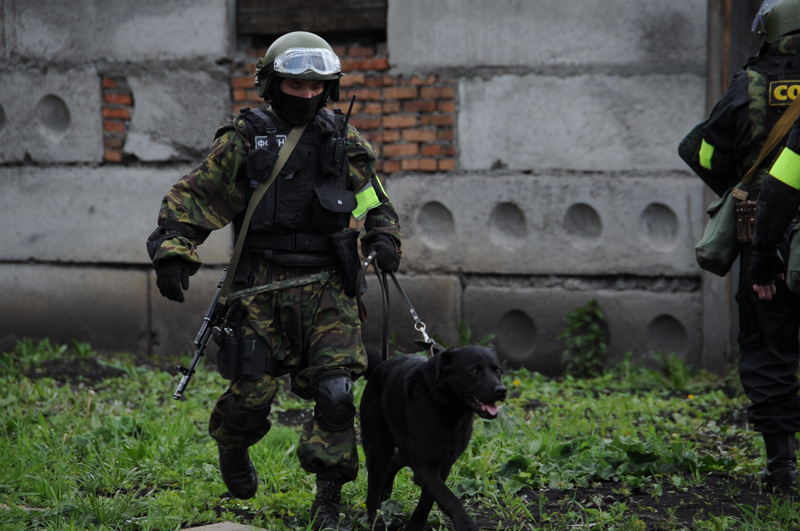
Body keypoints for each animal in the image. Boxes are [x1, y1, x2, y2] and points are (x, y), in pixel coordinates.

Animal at [360, 348, 506, 528]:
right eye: (475, 371)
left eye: (497, 370)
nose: (502, 390)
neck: (448, 412)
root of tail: (382, 364)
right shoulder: (425, 466)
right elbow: (449, 499)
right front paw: (466, 525)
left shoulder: (443, 465)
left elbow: (428, 501)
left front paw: (414, 525)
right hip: (378, 448)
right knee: (373, 490)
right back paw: (377, 521)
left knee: (394, 461)